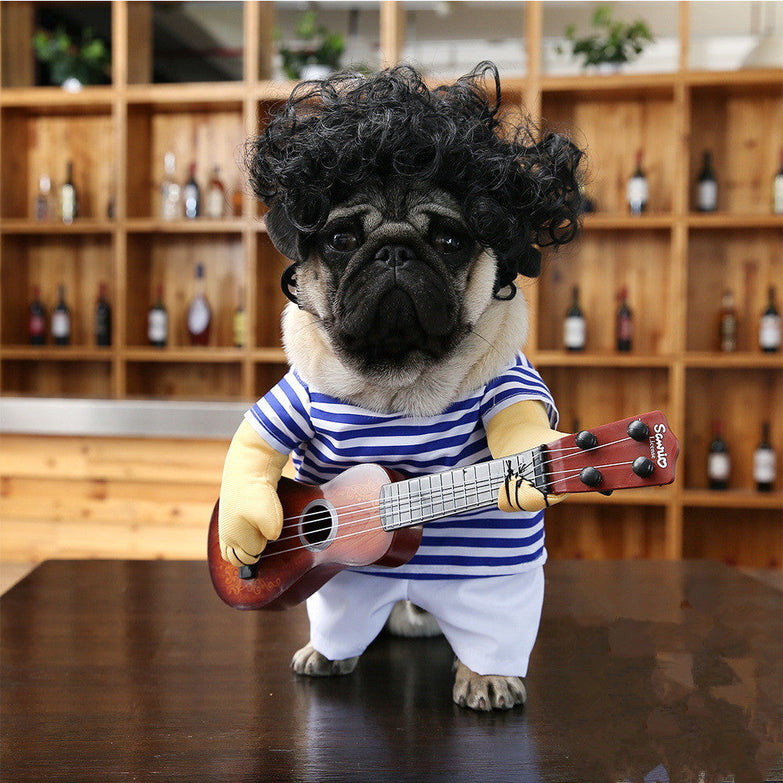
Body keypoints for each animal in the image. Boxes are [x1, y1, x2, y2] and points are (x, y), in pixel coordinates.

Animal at [217, 61, 584, 712]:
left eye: (449, 240)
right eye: (341, 240)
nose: (392, 250)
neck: (397, 381)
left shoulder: (509, 381)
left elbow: (519, 419)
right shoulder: (297, 393)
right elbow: (255, 446)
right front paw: (243, 533)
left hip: (495, 591)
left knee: (493, 628)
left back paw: (486, 673)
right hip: (345, 592)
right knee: (344, 617)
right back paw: (328, 653)